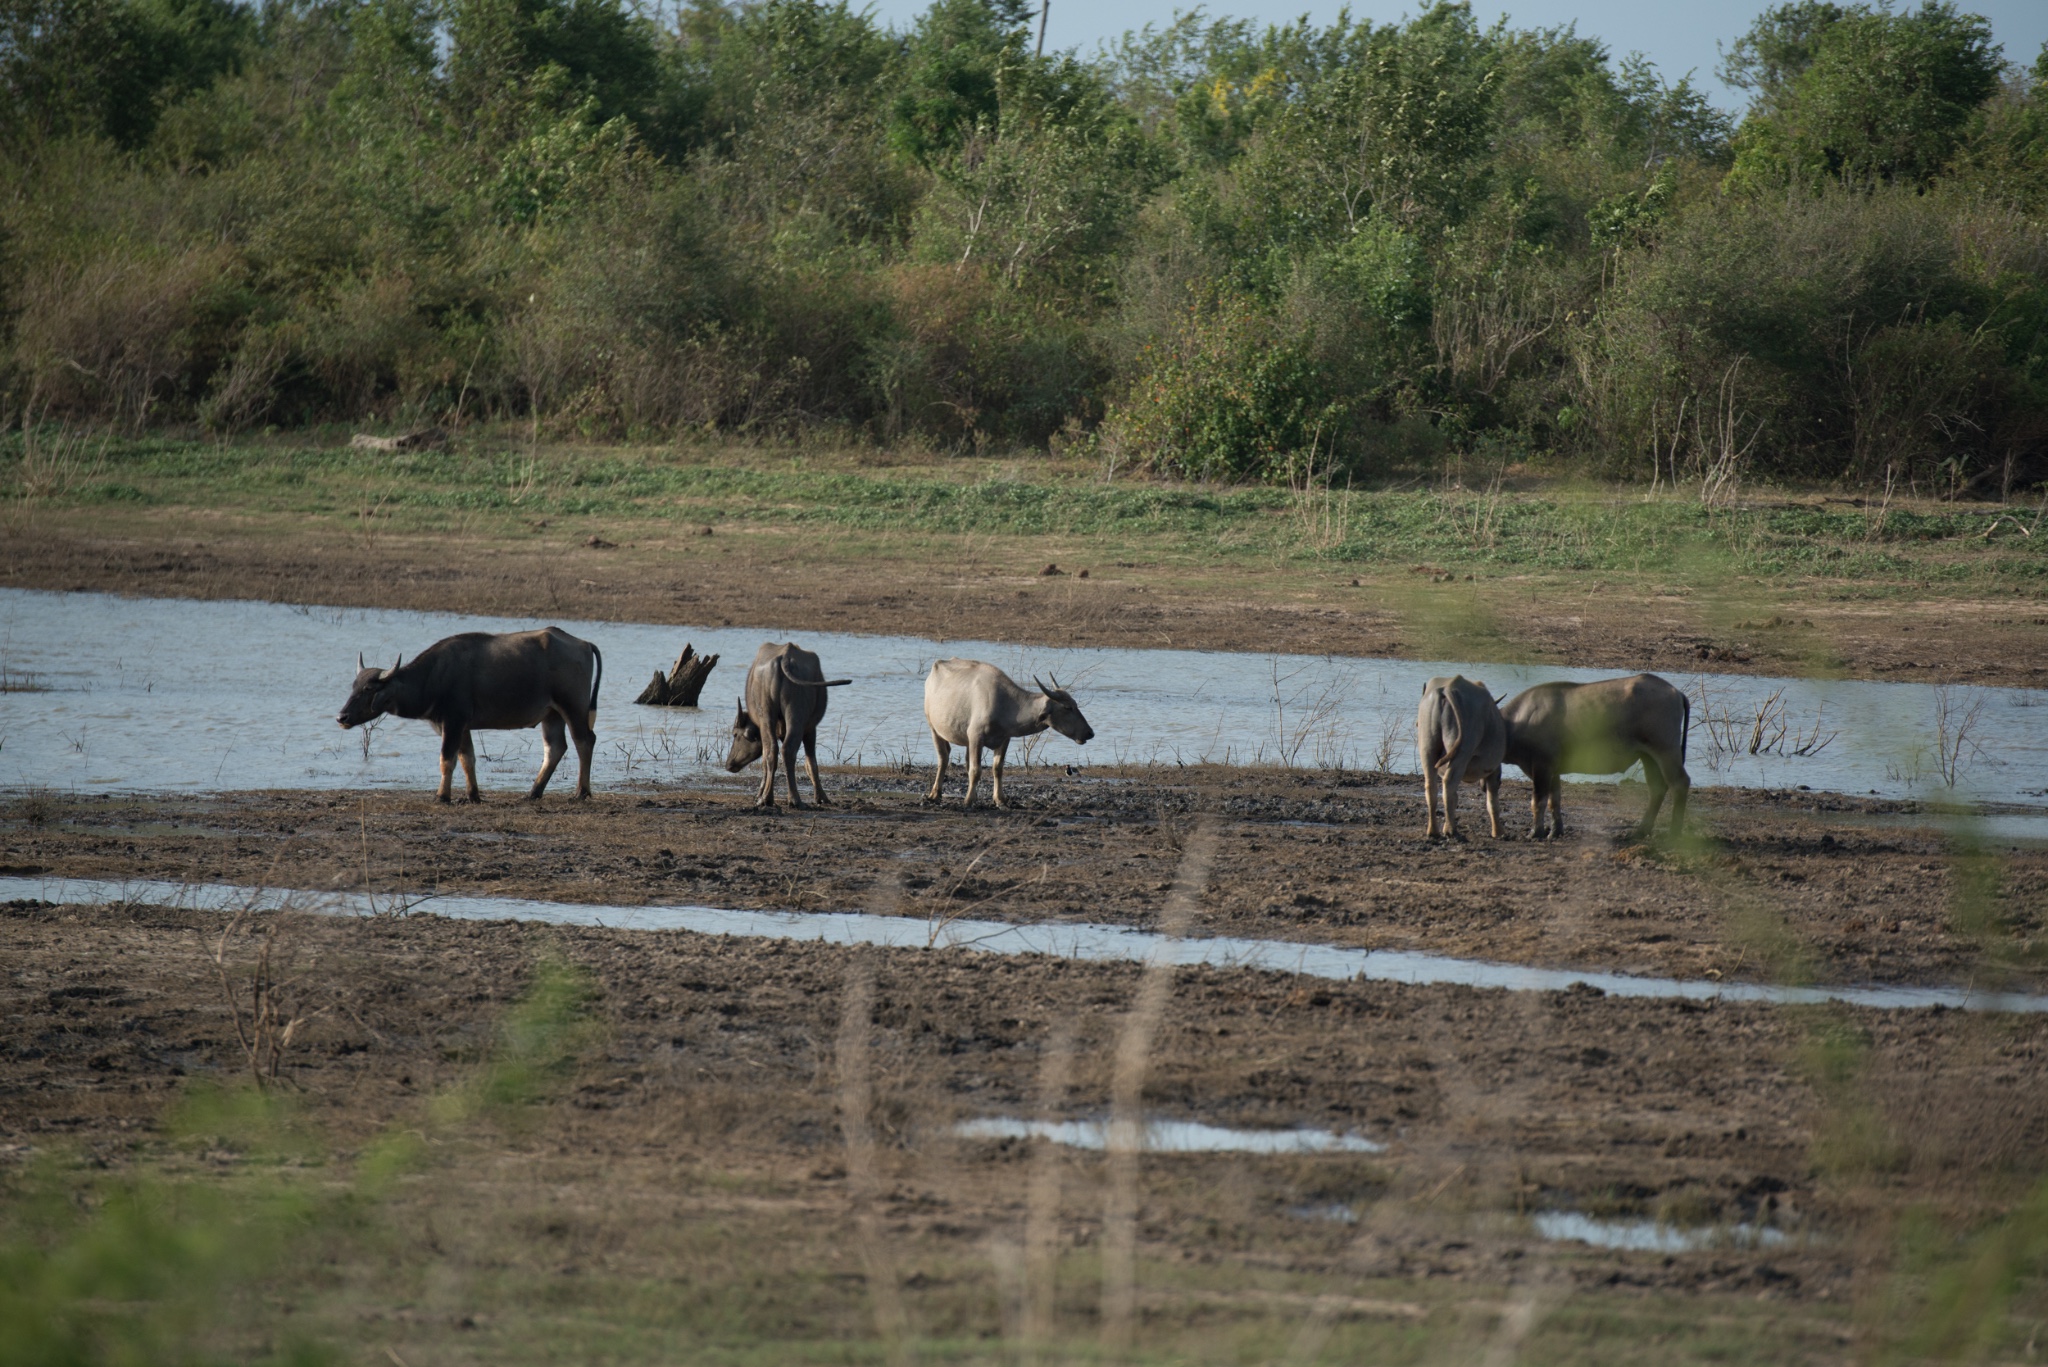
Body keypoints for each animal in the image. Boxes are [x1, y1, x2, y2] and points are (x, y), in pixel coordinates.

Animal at [335, 627, 602, 807]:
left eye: (369, 688)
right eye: (353, 686)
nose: (342, 717)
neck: (433, 677)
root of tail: (583, 643)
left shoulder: (453, 722)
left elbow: (447, 759)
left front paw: (442, 796)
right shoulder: (462, 726)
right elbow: (467, 758)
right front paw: (473, 795)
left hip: (573, 708)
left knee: (584, 741)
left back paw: (581, 792)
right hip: (552, 715)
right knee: (555, 748)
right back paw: (533, 792)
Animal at [729, 643, 847, 807]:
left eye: (735, 734)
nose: (728, 763)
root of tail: (784, 657)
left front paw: (759, 794)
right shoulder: (810, 729)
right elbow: (811, 763)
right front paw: (822, 797)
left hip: (770, 714)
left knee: (773, 751)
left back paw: (769, 798)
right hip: (796, 715)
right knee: (786, 750)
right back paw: (792, 799)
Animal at [1425, 672, 1507, 840]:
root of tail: (1447, 688)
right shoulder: (1494, 770)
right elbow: (1493, 802)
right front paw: (1498, 832)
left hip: (1427, 748)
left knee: (1431, 786)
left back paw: (1434, 830)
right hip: (1462, 752)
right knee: (1449, 784)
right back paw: (1451, 830)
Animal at [1499, 672, 1687, 840]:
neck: (1518, 722)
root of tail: (1675, 691)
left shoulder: (1541, 767)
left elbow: (1538, 801)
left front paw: (1535, 833)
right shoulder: (1553, 771)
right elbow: (1555, 800)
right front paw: (1555, 831)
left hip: (1666, 751)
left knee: (1679, 783)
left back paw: (1674, 832)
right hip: (1648, 756)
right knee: (1657, 788)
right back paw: (1641, 831)